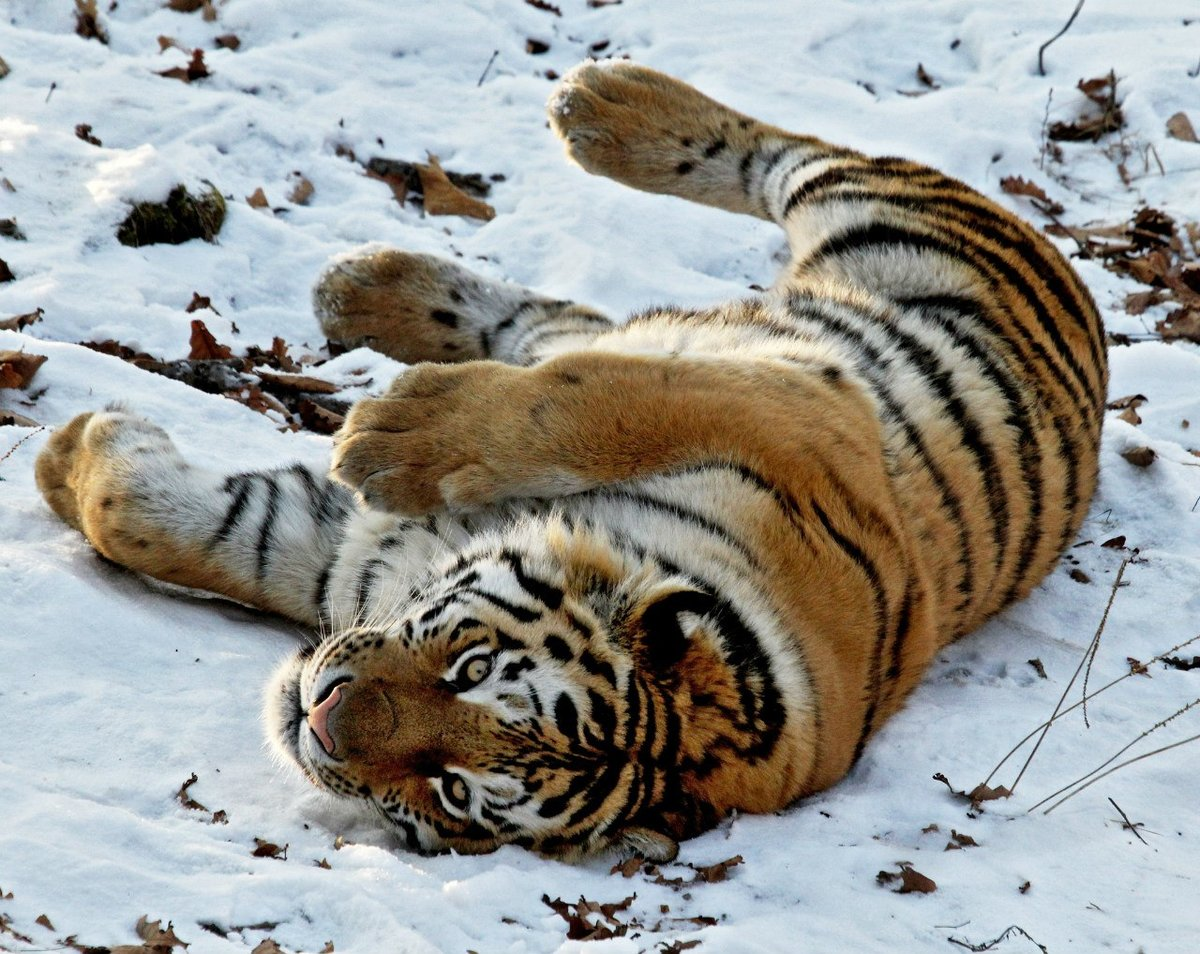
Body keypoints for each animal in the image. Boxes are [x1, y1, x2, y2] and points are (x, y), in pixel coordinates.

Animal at [37, 59, 1104, 864]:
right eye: (470, 666)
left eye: (454, 790)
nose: (325, 717)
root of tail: (1087, 316)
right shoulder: (802, 407)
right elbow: (593, 398)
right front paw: (394, 432)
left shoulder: (345, 558)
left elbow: (201, 525)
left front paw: (69, 455)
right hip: (873, 220)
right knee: (766, 169)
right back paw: (594, 111)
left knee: (573, 310)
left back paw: (374, 279)